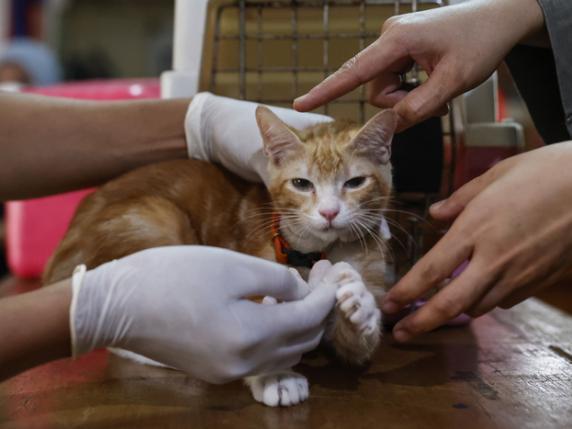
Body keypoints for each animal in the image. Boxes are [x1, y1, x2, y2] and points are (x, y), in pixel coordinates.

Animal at [44, 105, 396, 406]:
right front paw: (276, 376)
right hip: (155, 217)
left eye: (355, 182)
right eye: (301, 183)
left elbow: (358, 347)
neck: (319, 252)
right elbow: (261, 333)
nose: (329, 212)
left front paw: (360, 306)